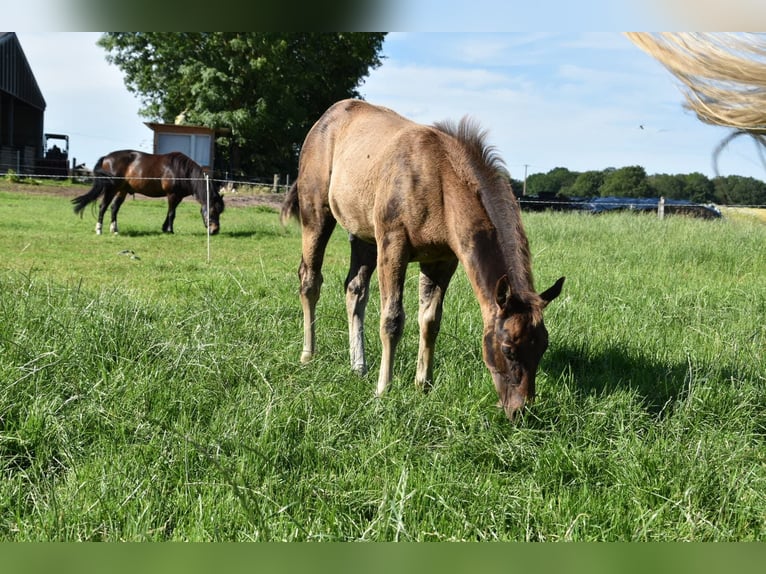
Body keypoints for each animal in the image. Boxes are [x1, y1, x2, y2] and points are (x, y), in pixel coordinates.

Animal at [71, 150, 225, 235]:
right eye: (212, 211)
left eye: (220, 211)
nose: (215, 230)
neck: (182, 172)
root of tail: (106, 157)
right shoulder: (172, 195)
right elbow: (172, 213)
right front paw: (170, 230)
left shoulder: (178, 197)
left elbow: (169, 212)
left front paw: (164, 228)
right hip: (111, 189)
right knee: (103, 207)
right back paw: (99, 230)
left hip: (122, 190)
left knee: (114, 208)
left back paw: (115, 230)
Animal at [280, 99, 565, 421]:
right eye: (508, 349)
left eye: (543, 347)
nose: (520, 411)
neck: (439, 182)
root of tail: (324, 119)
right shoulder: (393, 245)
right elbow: (392, 319)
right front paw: (384, 390)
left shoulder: (442, 259)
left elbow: (430, 320)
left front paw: (423, 385)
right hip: (316, 212)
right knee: (310, 280)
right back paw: (308, 355)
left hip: (363, 234)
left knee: (355, 289)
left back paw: (358, 367)